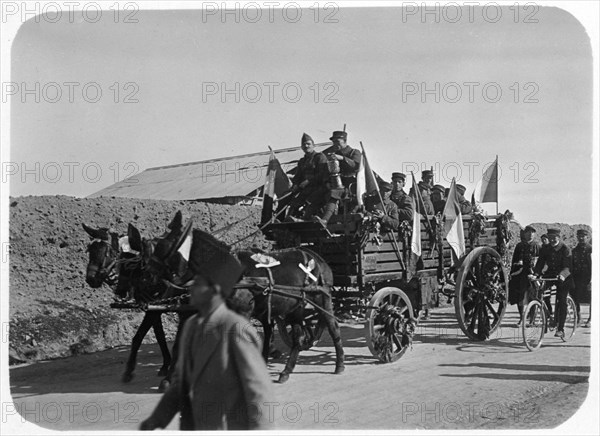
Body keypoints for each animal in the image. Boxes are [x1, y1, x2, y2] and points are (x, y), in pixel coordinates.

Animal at [142, 213, 344, 384]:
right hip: (294, 307)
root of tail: (317, 258)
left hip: (321, 299)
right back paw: (286, 371)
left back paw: (339, 364)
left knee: (332, 326)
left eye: (163, 246)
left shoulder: (242, 312)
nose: (148, 274)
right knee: (297, 337)